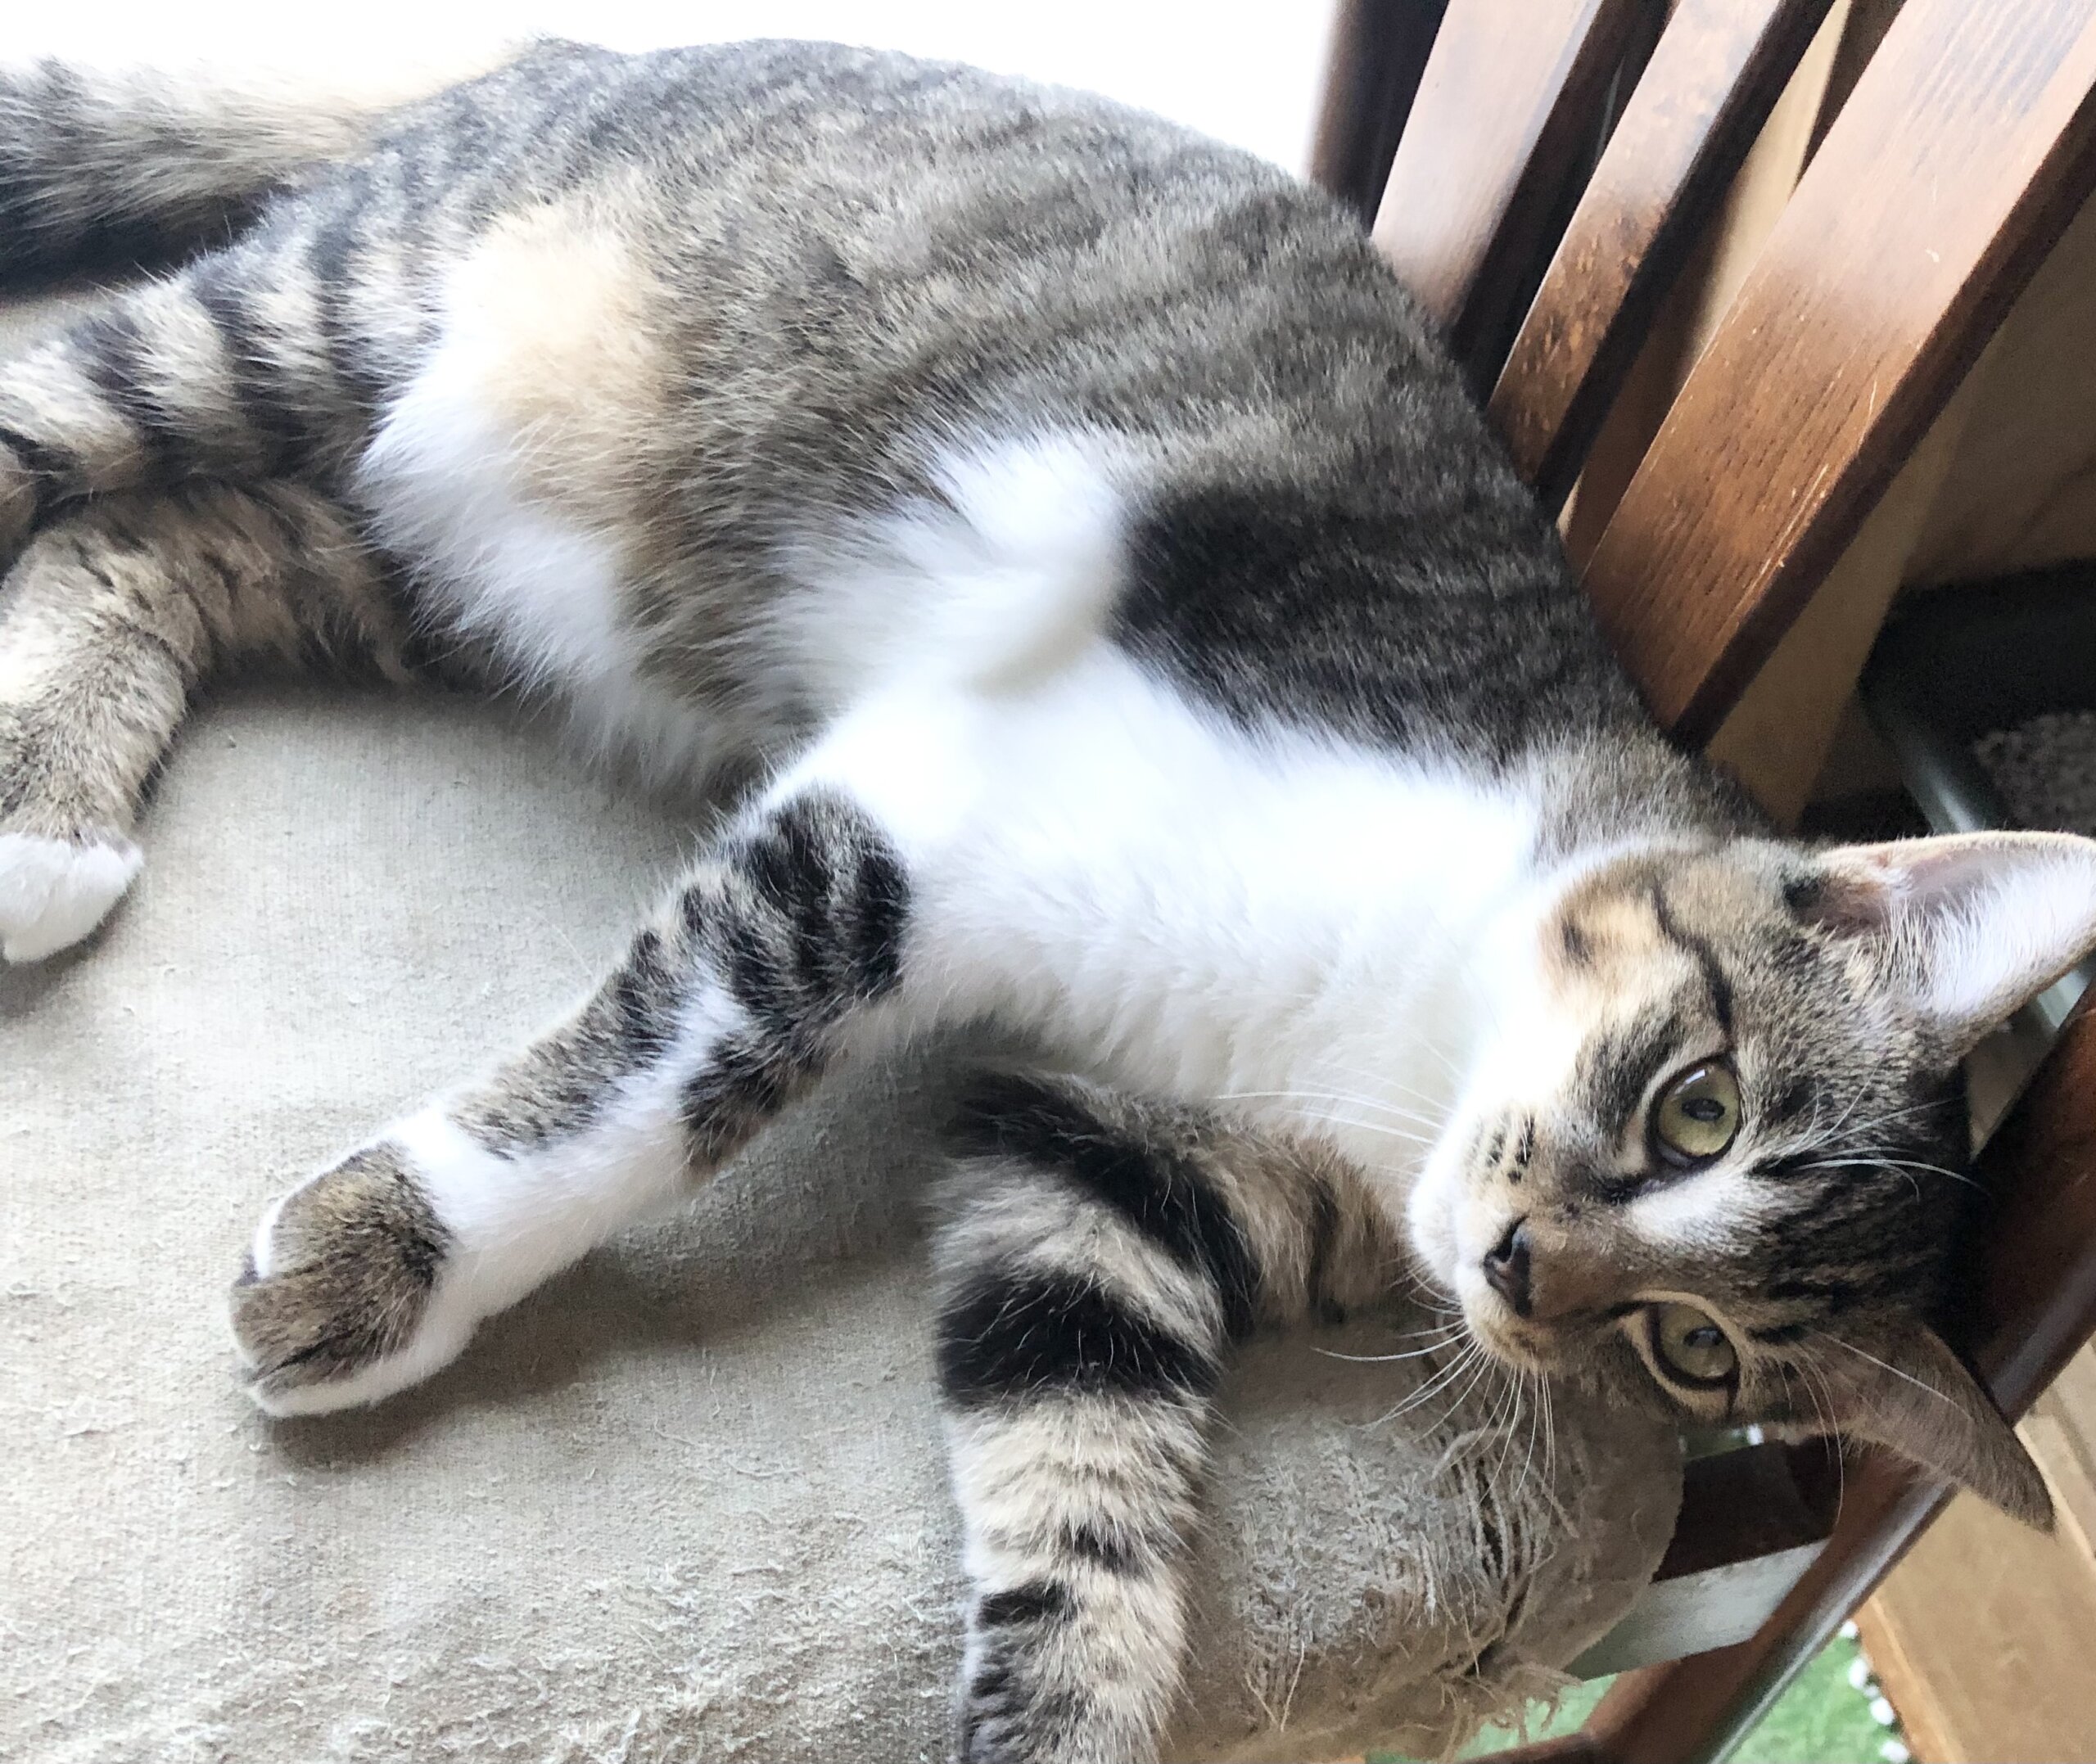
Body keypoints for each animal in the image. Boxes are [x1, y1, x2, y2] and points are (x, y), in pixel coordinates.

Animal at [3, 39, 2092, 1764]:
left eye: (1693, 1351)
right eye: (1697, 1105)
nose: (1516, 1271)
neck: (1389, 1070)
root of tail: (552, 53)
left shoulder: (1106, 1165)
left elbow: (1079, 1439)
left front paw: (1065, 1703)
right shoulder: (916, 820)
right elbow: (672, 1080)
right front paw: (384, 1262)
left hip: (419, 538)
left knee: (155, 540)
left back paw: (50, 812)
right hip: (343, 318)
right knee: (67, 419)